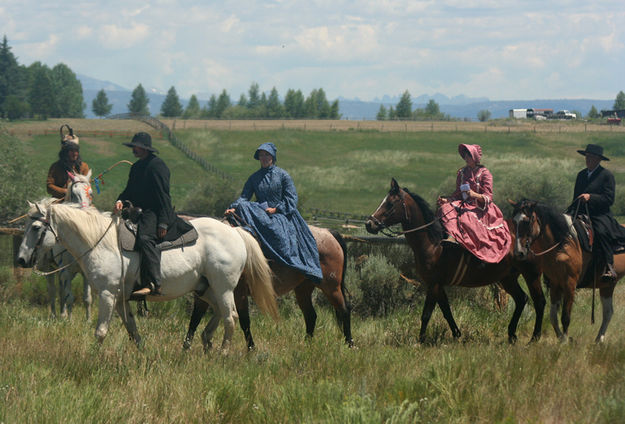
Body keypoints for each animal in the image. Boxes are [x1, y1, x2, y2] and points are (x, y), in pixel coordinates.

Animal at [17, 202, 276, 352]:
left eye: (36, 228)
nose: (21, 260)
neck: (101, 242)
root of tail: (235, 232)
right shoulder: (121, 299)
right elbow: (132, 329)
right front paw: (142, 354)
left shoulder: (108, 295)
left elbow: (101, 331)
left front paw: (94, 358)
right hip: (206, 289)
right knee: (222, 313)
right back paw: (206, 340)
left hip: (223, 288)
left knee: (230, 318)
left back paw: (222, 352)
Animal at [364, 179, 544, 344]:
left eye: (390, 204)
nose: (369, 224)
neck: (434, 244)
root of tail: (533, 235)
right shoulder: (438, 285)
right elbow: (446, 311)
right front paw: (457, 334)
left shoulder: (433, 284)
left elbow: (426, 314)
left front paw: (421, 341)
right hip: (507, 278)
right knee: (522, 299)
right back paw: (512, 335)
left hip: (531, 275)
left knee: (539, 301)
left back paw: (534, 338)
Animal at [510, 198, 620, 342]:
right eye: (514, 221)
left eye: (527, 221)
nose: (519, 252)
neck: (564, 244)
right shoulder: (555, 283)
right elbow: (553, 316)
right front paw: (562, 338)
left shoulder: (570, 284)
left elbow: (565, 317)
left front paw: (565, 341)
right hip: (607, 285)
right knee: (608, 312)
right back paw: (598, 339)